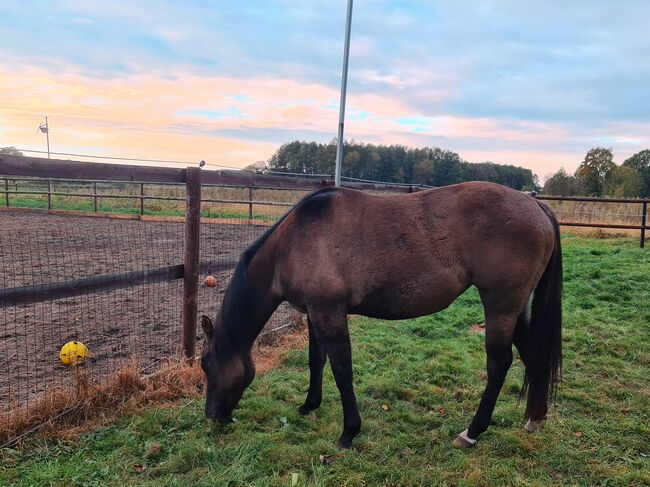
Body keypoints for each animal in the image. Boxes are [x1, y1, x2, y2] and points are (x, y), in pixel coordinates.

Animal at [200, 182, 560, 450]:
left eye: (205, 365)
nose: (212, 416)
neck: (294, 241)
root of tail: (536, 206)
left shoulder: (330, 313)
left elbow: (342, 371)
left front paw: (348, 432)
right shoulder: (315, 313)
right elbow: (316, 361)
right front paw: (309, 405)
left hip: (500, 305)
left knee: (499, 364)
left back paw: (471, 432)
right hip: (514, 308)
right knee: (532, 355)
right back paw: (534, 419)